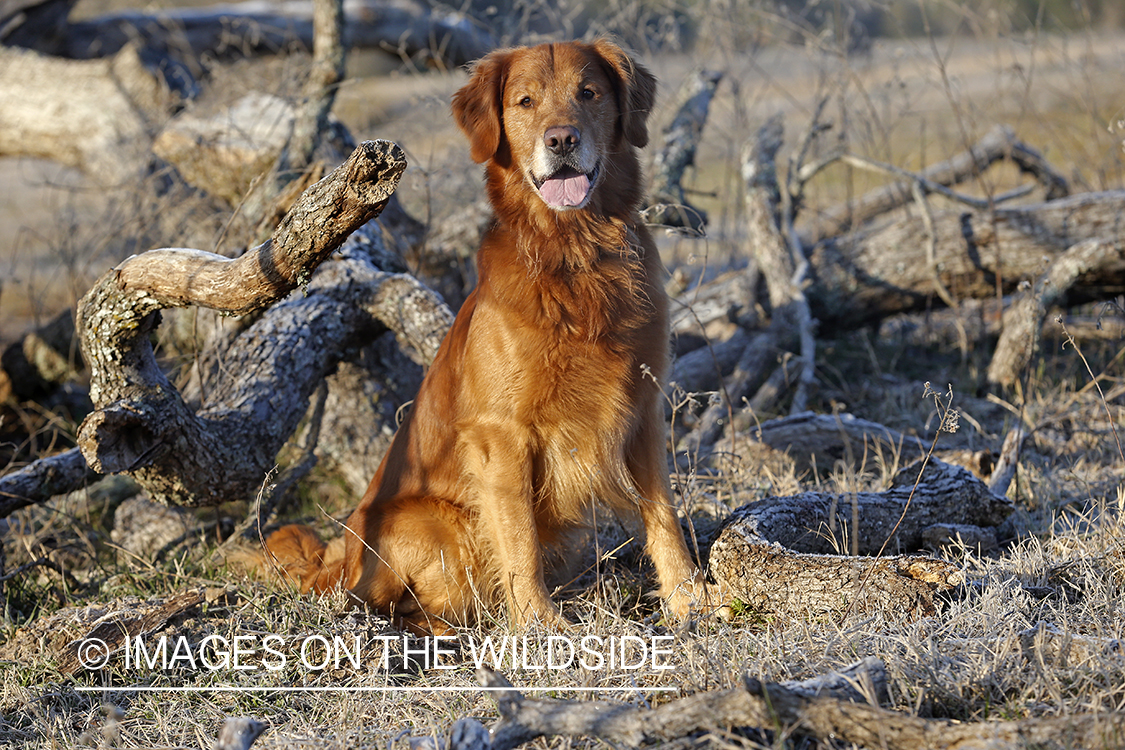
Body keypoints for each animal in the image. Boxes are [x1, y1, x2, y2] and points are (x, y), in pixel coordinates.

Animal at [265, 36, 711, 634]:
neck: (576, 256)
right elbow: (518, 540)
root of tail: (336, 561)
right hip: (436, 528)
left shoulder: (640, 411)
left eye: (589, 93)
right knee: (382, 603)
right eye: (524, 102)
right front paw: (541, 627)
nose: (561, 139)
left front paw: (692, 600)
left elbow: (663, 515)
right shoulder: (503, 435)